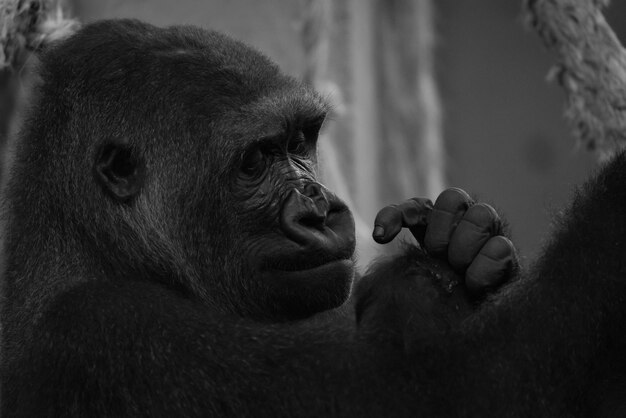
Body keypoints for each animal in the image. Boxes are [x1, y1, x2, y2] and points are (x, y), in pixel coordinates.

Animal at [0, 18, 620, 416]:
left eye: (301, 141)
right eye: (255, 160)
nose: (322, 210)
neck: (88, 240)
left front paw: (456, 251)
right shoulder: (106, 333)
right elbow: (438, 392)